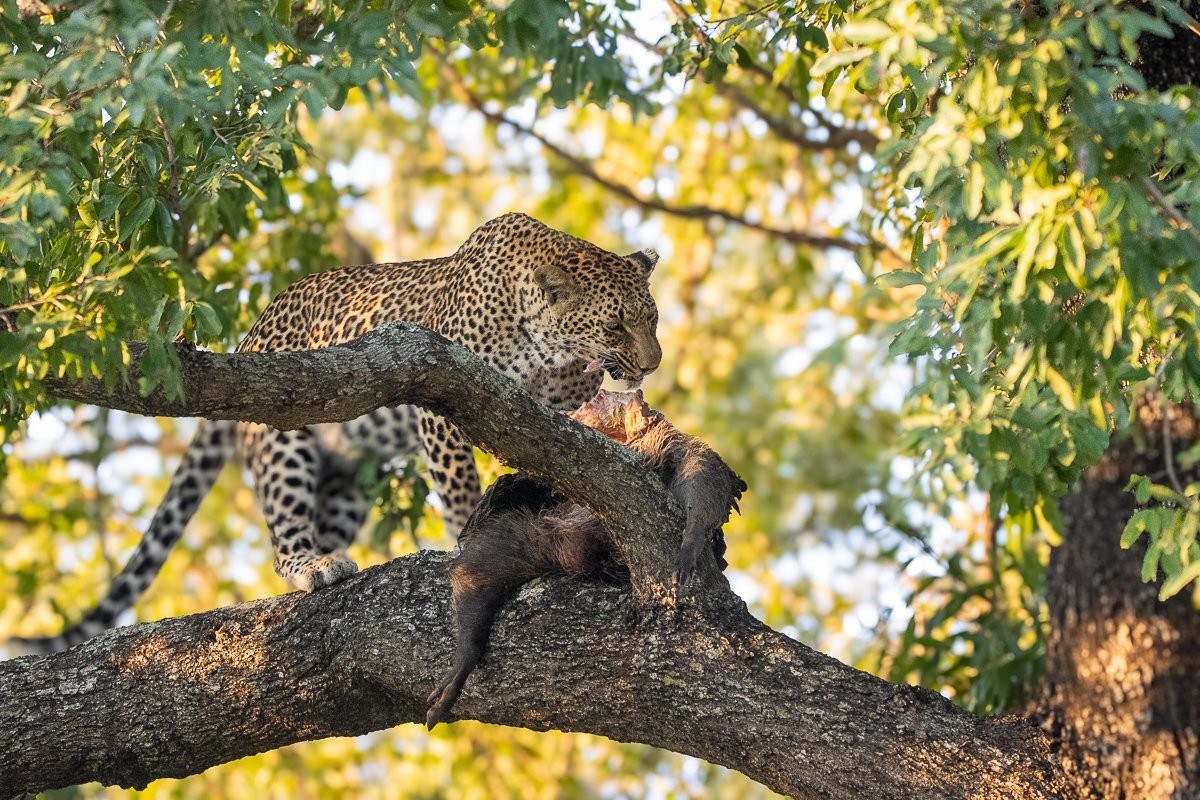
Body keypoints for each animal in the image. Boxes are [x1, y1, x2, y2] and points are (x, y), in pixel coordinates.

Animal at [11, 212, 662, 654]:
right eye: (615, 326)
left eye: (651, 319)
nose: (653, 363)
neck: (545, 345)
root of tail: (249, 337)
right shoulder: (446, 400)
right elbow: (458, 487)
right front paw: (467, 537)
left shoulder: (563, 411)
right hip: (284, 440)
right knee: (283, 534)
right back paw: (310, 566)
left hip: (350, 479)